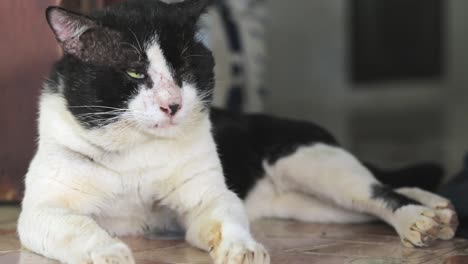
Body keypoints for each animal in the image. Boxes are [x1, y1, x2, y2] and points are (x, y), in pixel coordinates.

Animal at [18, 0, 458, 264]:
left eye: (184, 68)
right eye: (133, 72)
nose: (171, 104)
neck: (138, 149)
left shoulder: (209, 198)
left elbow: (226, 219)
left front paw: (242, 248)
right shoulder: (40, 211)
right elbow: (79, 227)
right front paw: (110, 252)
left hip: (310, 161)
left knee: (378, 190)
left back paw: (423, 218)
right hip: (315, 205)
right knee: (373, 196)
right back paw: (438, 206)